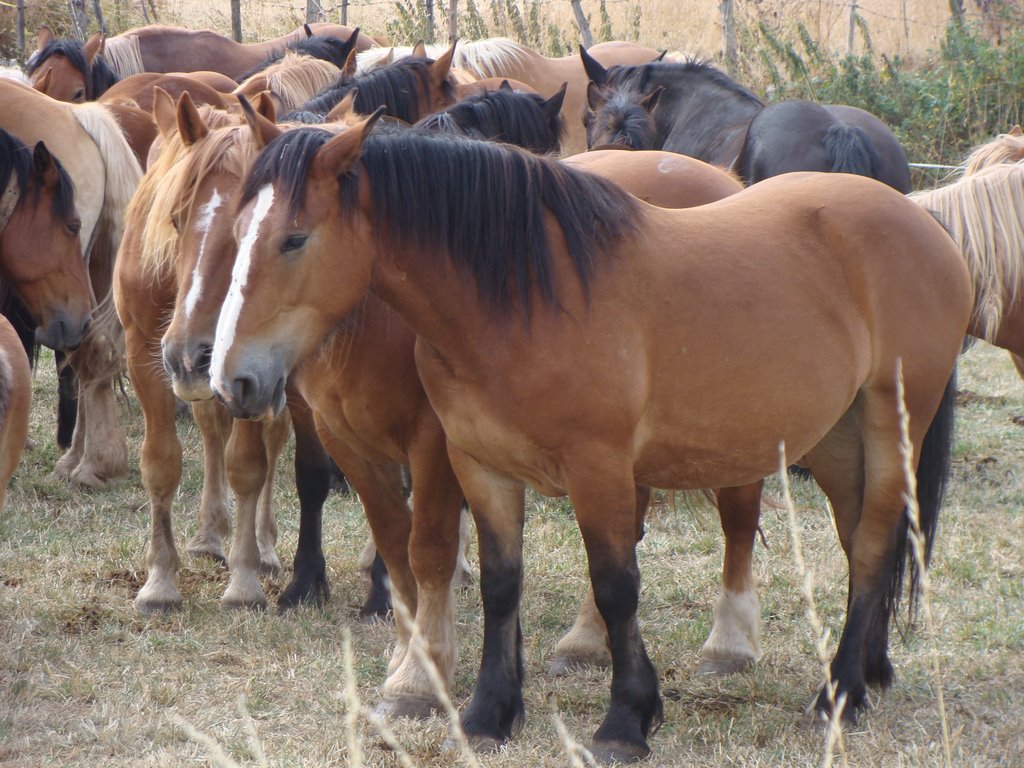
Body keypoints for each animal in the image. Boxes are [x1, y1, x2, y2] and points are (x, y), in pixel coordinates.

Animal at [207, 123, 966, 761]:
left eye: (294, 238)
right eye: (238, 231)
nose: (231, 378)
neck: (520, 300)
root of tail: (922, 222)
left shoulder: (596, 469)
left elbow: (615, 585)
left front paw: (626, 721)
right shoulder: (480, 466)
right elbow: (501, 584)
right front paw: (486, 715)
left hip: (889, 424)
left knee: (873, 543)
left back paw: (839, 695)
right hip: (837, 439)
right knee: (862, 540)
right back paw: (869, 670)